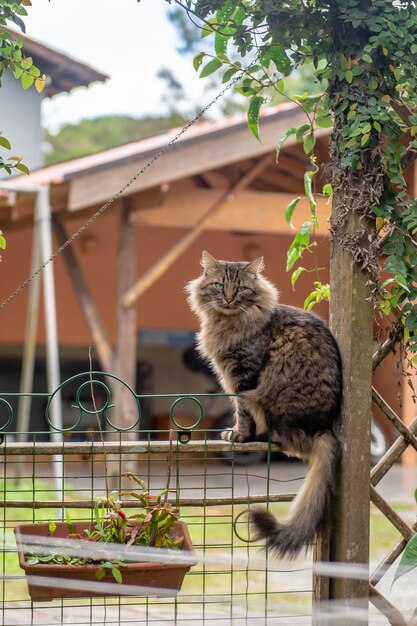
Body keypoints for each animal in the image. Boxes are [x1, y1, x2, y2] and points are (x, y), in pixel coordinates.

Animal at [185, 251, 342, 560]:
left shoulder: (244, 376)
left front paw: (239, 436)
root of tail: (324, 427)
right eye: (219, 286)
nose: (229, 299)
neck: (227, 323)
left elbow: (242, 410)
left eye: (241, 289)